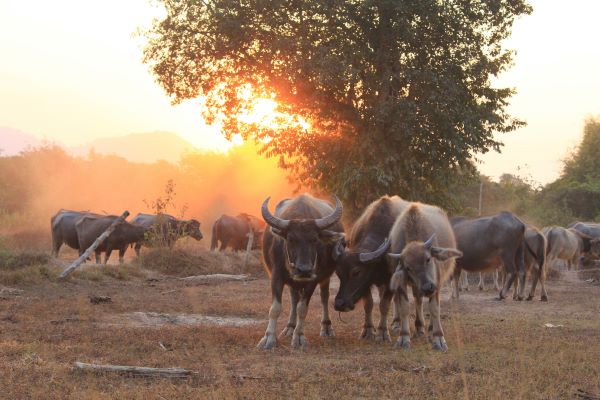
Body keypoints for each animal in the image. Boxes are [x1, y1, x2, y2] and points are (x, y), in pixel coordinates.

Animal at [256, 195, 344, 350]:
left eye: (314, 239)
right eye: (291, 239)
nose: (304, 270)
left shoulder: (313, 279)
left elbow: (302, 309)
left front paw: (299, 337)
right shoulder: (276, 276)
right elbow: (275, 308)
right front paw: (268, 338)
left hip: (324, 278)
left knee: (324, 297)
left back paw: (326, 327)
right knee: (294, 298)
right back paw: (290, 327)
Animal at [330, 194, 410, 340]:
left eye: (356, 272)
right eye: (338, 273)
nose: (339, 304)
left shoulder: (390, 279)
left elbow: (384, 304)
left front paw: (382, 331)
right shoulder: (366, 283)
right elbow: (369, 304)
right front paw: (368, 329)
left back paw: (398, 323)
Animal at [386, 203, 462, 350]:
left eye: (428, 259)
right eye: (408, 268)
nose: (428, 287)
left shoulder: (436, 282)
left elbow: (434, 309)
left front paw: (438, 338)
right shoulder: (402, 283)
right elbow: (404, 307)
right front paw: (404, 337)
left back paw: (430, 329)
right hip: (417, 286)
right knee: (417, 299)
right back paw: (419, 327)